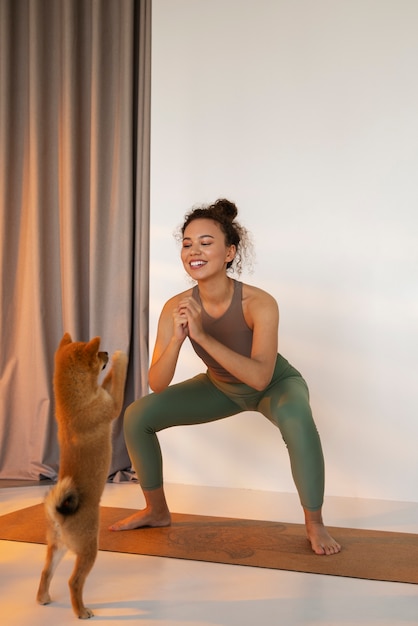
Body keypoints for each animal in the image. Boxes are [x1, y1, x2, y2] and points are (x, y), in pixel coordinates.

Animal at [37, 334, 129, 616]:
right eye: (98, 354)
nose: (107, 351)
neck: (75, 405)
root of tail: (60, 516)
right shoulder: (113, 404)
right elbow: (119, 376)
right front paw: (121, 357)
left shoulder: (106, 395)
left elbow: (109, 380)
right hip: (89, 549)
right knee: (74, 582)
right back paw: (81, 611)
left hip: (57, 549)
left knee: (46, 573)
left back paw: (43, 598)